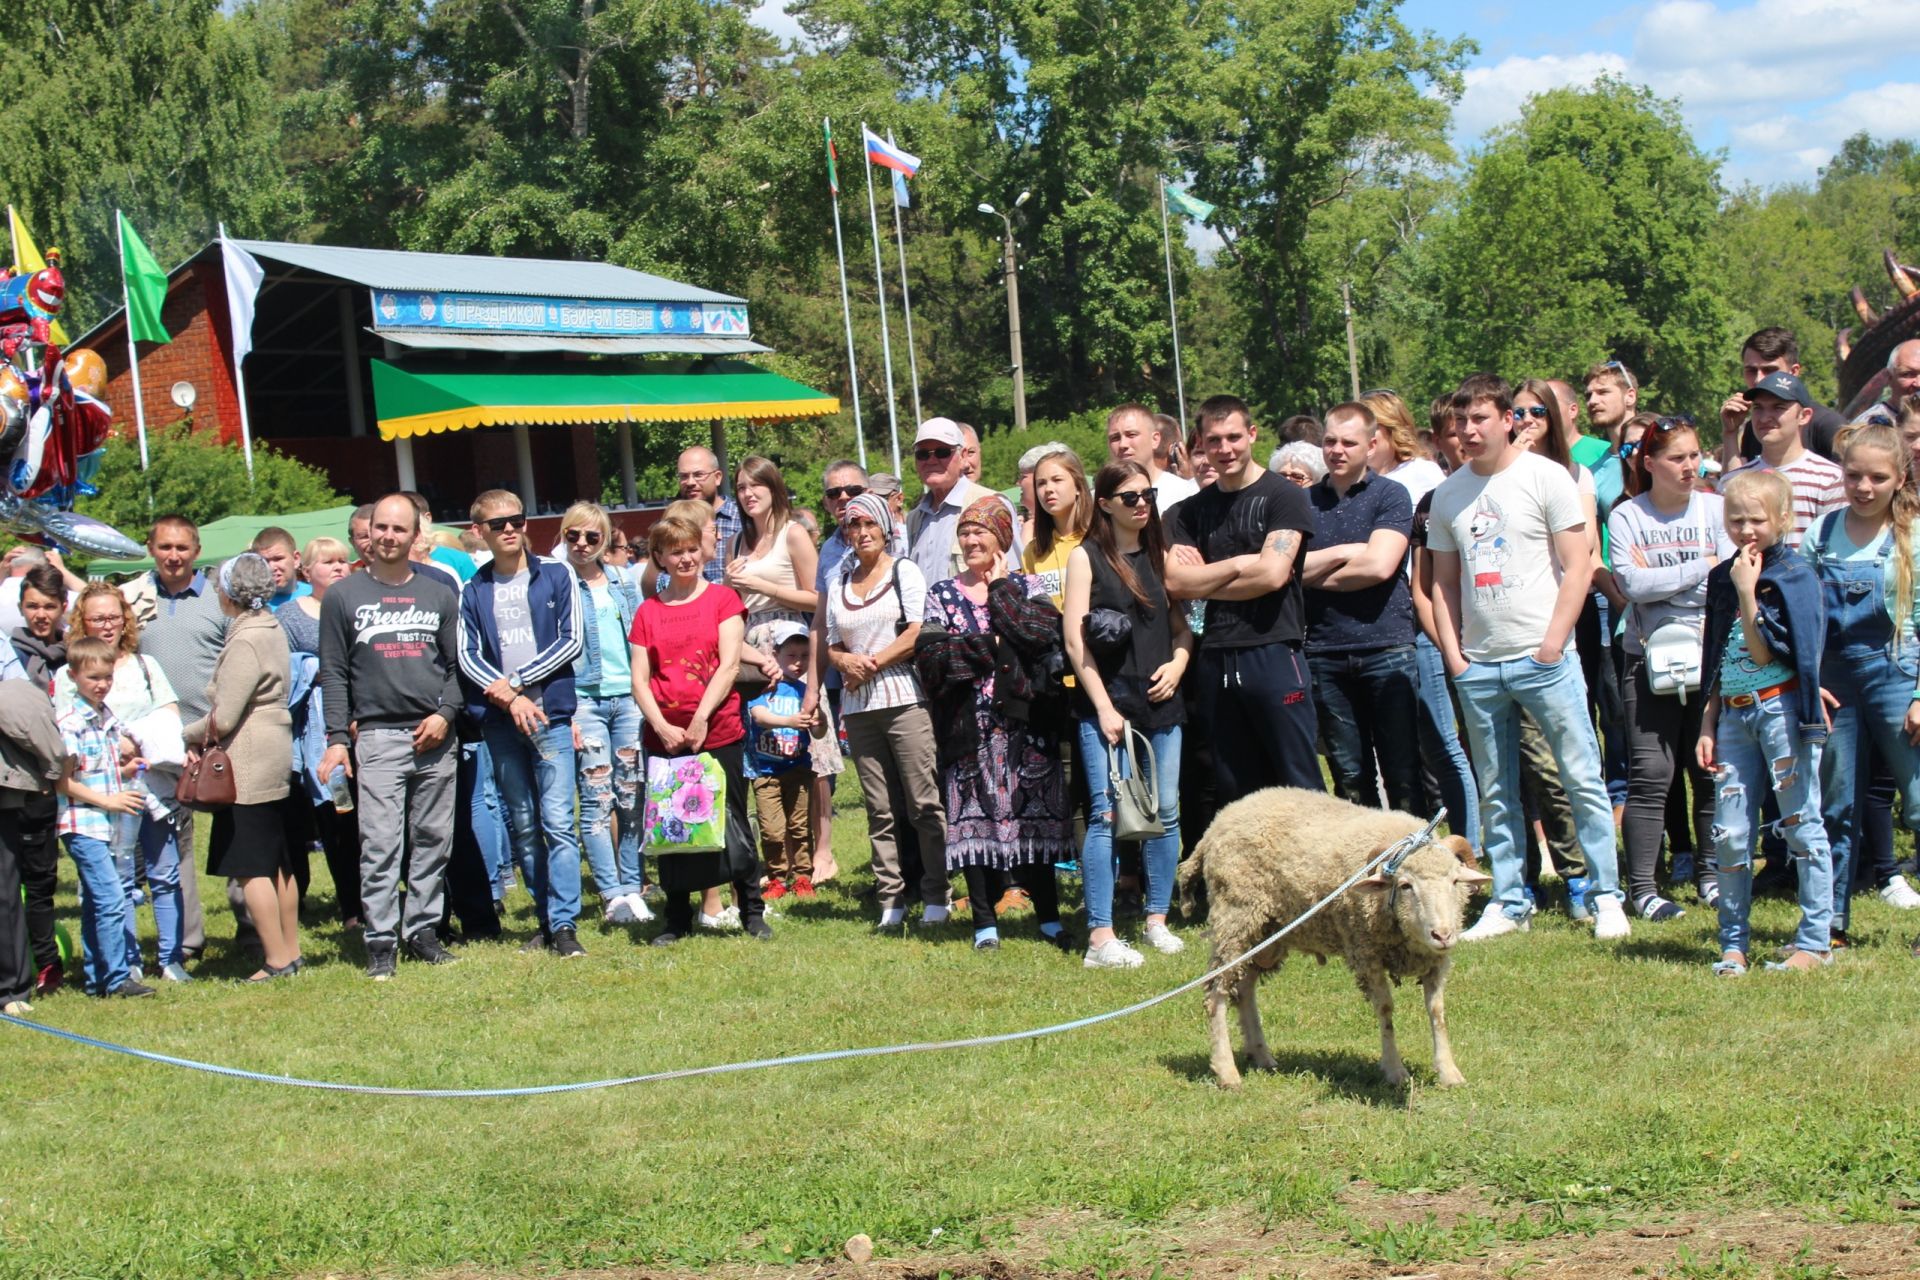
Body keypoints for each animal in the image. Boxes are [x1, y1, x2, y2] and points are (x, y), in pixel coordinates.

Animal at [1175, 790, 1489, 1090]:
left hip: (1266, 933)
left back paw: (1261, 1054)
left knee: (1244, 988)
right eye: (1405, 885)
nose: (1443, 935)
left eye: (1455, 881)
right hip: (1236, 919)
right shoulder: (1366, 953)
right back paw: (1226, 1071)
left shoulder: (1436, 960)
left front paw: (1449, 1073)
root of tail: (1218, 822)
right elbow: (1385, 1010)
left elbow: (1437, 1013)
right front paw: (1394, 1071)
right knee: (1215, 992)